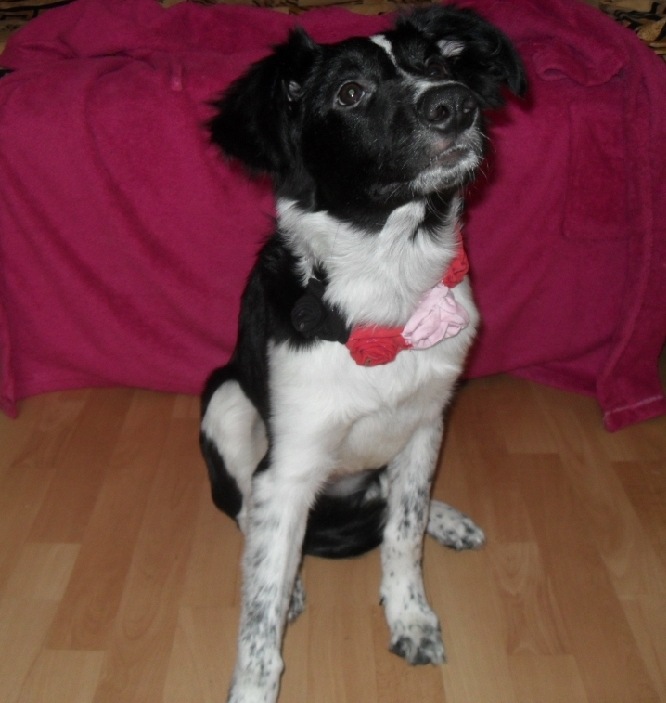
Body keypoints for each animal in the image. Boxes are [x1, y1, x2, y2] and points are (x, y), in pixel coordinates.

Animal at [200, 6, 526, 702]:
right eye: (350, 93)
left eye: (440, 63)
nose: (454, 105)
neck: (388, 281)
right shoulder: (287, 466)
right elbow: (259, 617)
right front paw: (254, 682)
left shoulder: (426, 424)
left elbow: (402, 533)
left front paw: (411, 618)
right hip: (226, 402)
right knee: (242, 510)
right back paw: (292, 577)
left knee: (397, 502)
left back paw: (444, 518)